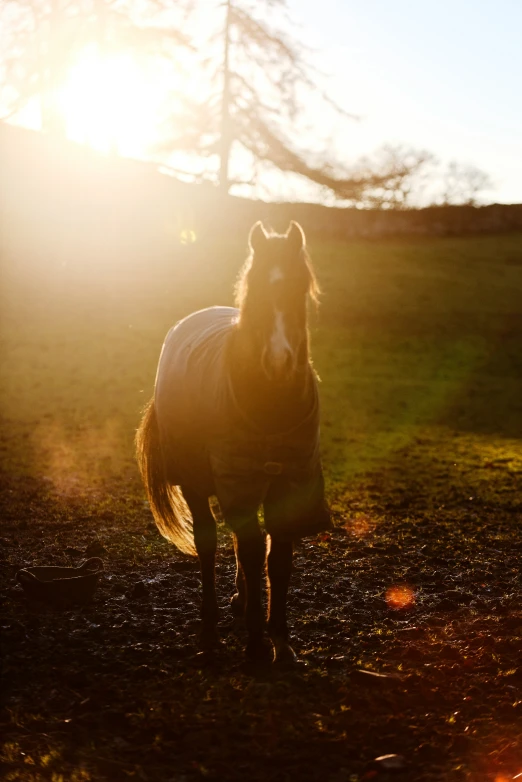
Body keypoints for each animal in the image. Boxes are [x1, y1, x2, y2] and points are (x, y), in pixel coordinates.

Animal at [134, 222, 330, 668]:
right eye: (254, 289)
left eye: (300, 287)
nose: (279, 361)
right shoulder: (235, 480)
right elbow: (254, 553)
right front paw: (257, 645)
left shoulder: (289, 484)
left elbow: (277, 560)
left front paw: (280, 641)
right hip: (195, 480)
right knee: (209, 544)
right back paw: (209, 631)